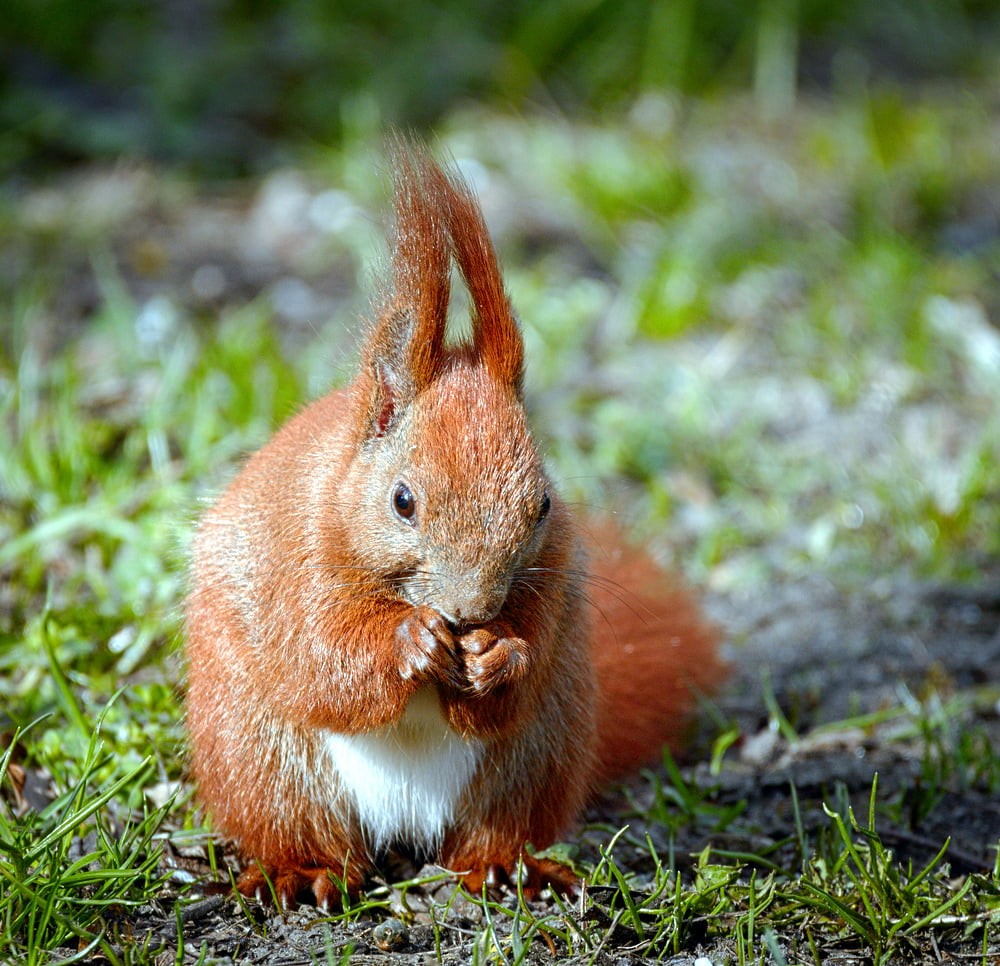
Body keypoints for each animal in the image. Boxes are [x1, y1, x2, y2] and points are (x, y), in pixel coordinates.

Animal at [184, 140, 723, 909]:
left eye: (543, 505)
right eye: (402, 501)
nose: (472, 612)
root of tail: (405, 826)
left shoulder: (554, 582)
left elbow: (519, 667)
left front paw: (500, 654)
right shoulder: (296, 566)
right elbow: (321, 659)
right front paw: (408, 642)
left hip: (534, 756)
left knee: (490, 831)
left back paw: (511, 868)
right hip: (264, 757)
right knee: (304, 827)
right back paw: (305, 870)